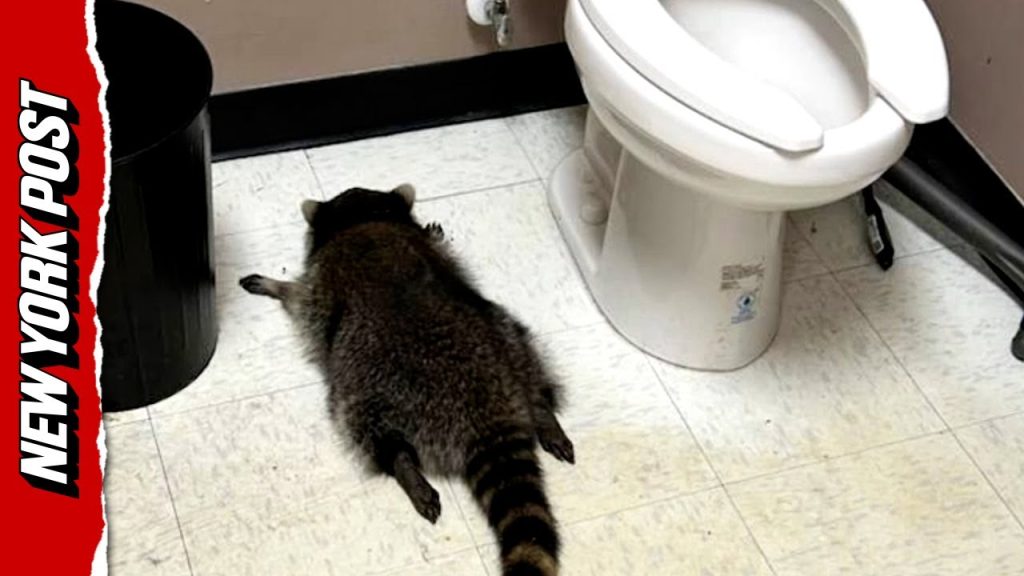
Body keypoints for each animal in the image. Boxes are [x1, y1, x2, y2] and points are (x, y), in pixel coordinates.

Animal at [239, 184, 574, 576]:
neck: (364, 218)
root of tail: (486, 412)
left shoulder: (321, 285)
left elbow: (300, 299)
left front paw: (278, 285)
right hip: (506, 336)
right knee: (529, 362)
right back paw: (542, 412)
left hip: (370, 386)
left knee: (366, 427)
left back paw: (404, 467)